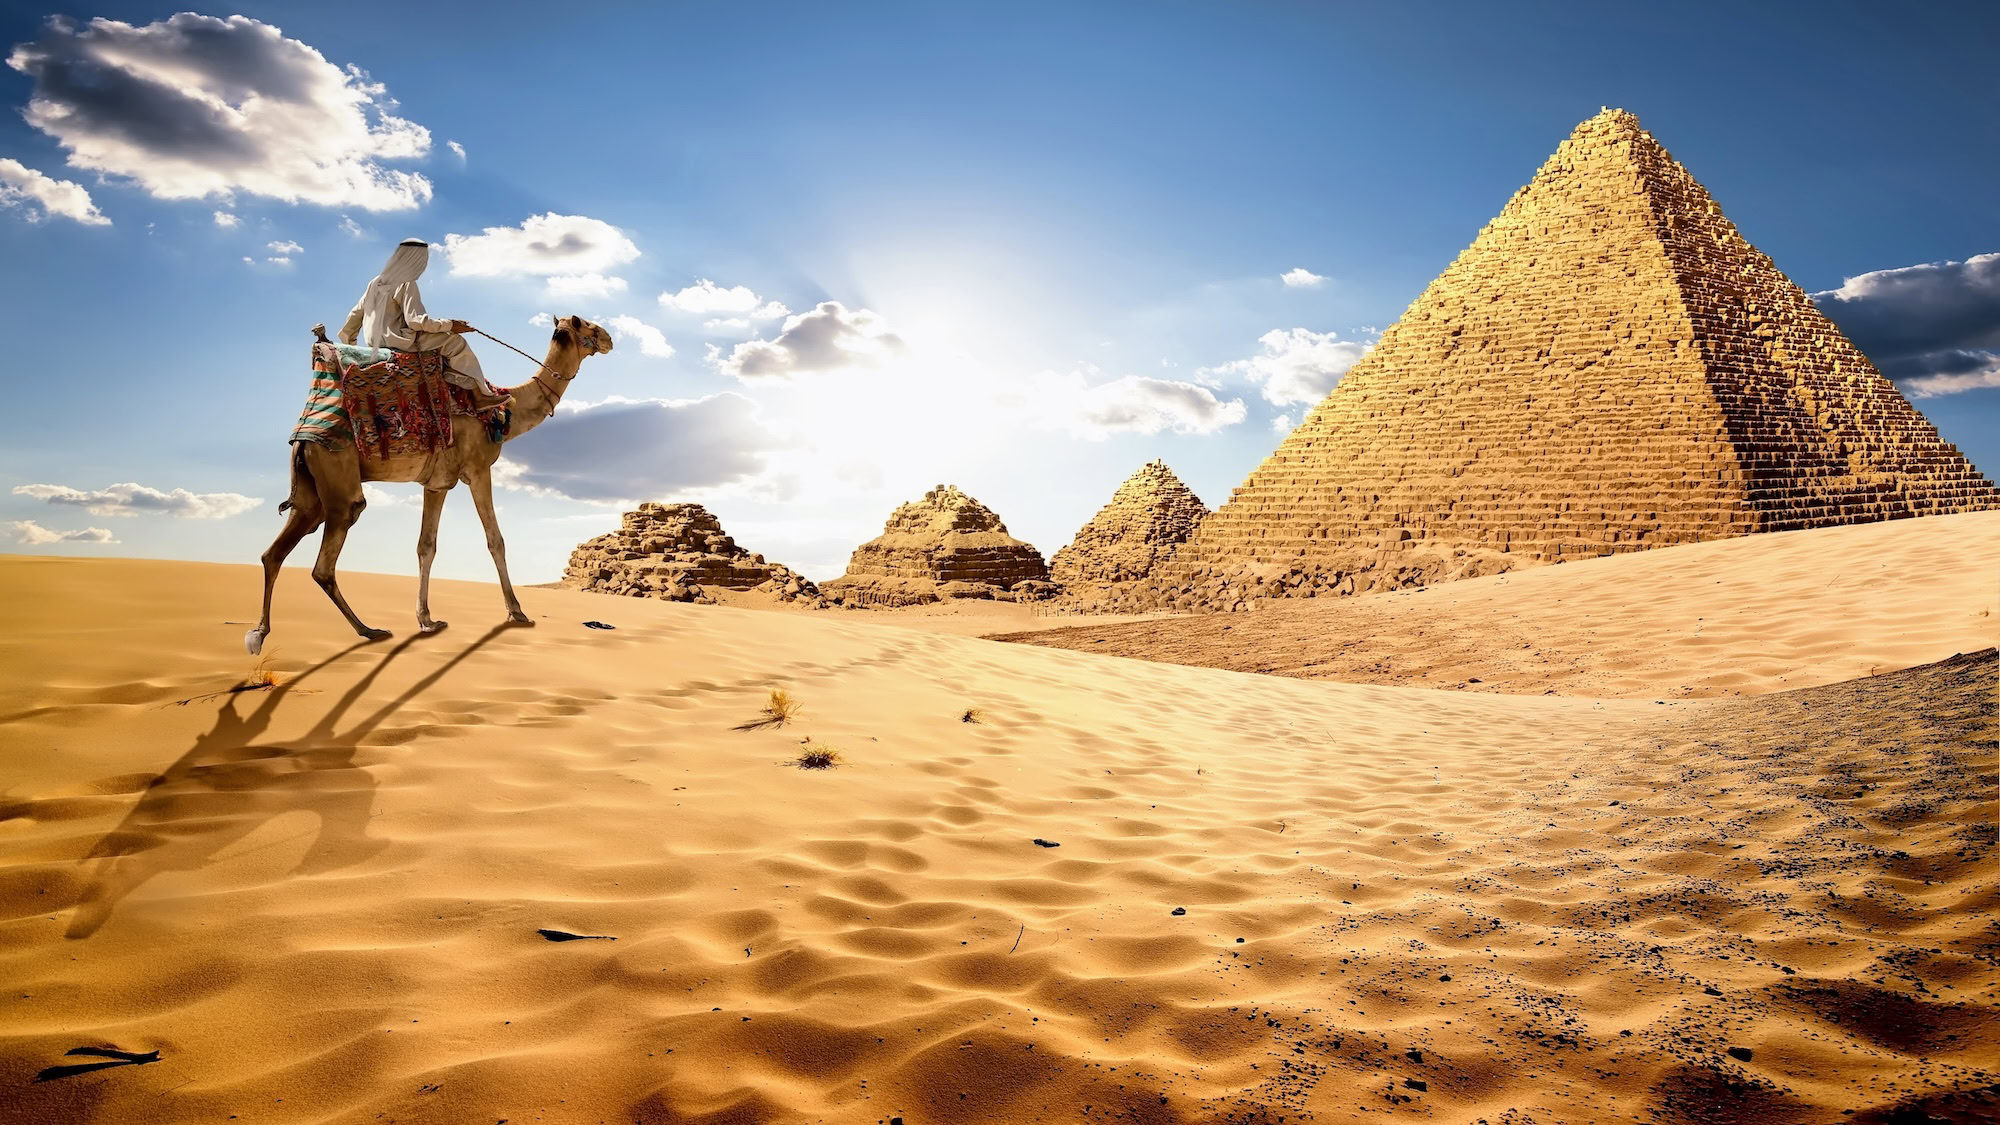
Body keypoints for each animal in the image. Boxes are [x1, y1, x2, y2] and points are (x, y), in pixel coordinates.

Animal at [247, 315, 614, 655]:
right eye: (590, 326)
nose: (610, 339)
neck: (507, 409)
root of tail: (302, 434)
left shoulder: (437, 483)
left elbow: (426, 546)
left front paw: (426, 619)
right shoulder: (478, 469)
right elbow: (495, 540)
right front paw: (517, 612)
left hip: (311, 492)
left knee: (273, 553)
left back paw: (261, 633)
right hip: (338, 480)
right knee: (325, 562)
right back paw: (369, 630)